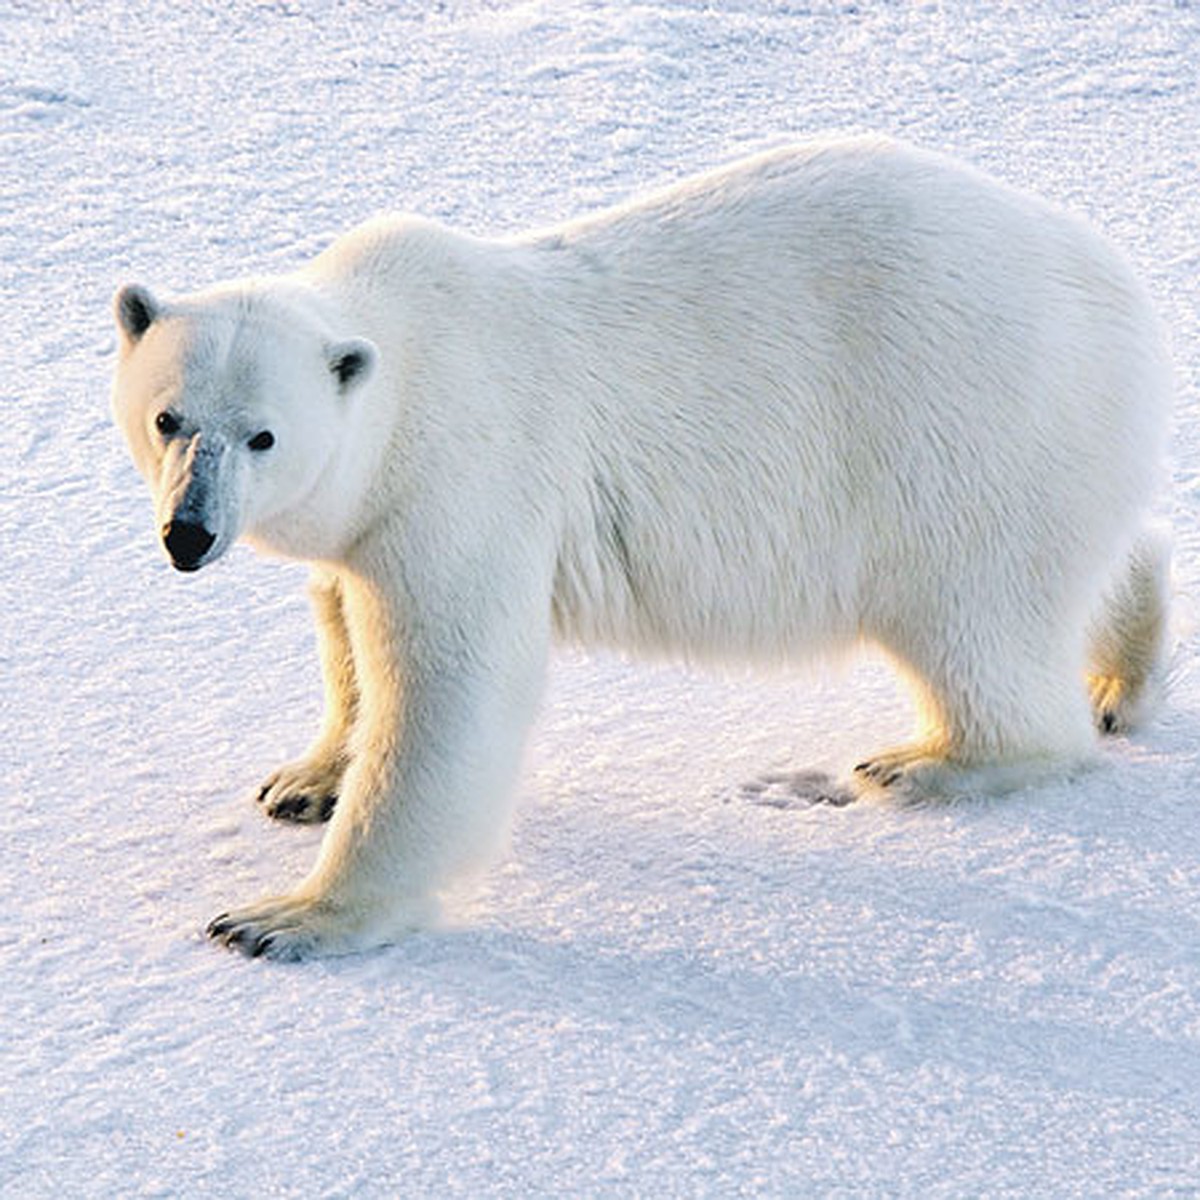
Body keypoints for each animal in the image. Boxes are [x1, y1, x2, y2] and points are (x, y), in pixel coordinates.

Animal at [112, 138, 1171, 964]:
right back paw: (1123, 669)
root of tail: (1118, 291)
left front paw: (286, 918)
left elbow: (448, 689)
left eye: (263, 436)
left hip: (961, 439)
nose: (189, 533)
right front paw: (305, 778)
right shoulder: (369, 517)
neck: (406, 365)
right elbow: (344, 627)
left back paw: (925, 762)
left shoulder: (465, 482)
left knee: (970, 627)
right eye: (168, 418)